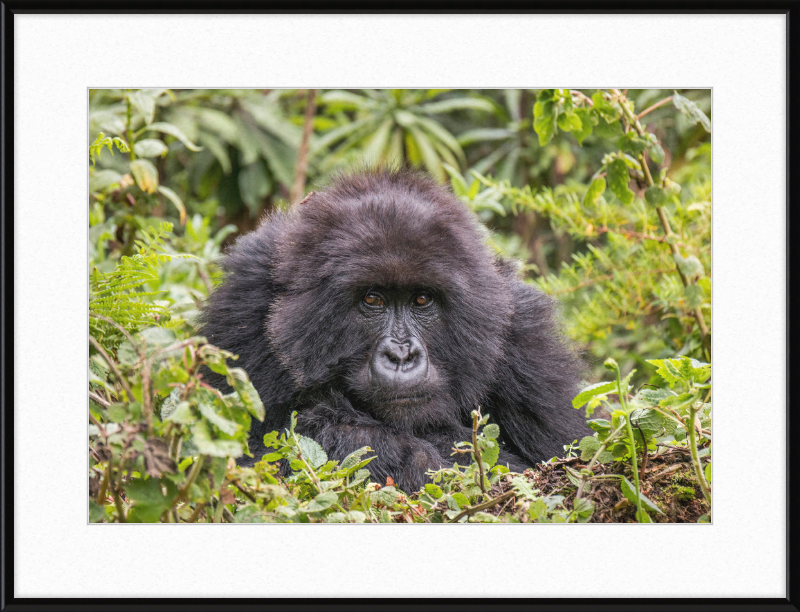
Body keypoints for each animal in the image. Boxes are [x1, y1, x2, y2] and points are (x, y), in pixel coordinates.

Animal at [198, 167, 588, 492]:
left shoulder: (526, 339)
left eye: (421, 299)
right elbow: (243, 462)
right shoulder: (243, 308)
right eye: (372, 299)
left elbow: (562, 462)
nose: (401, 355)